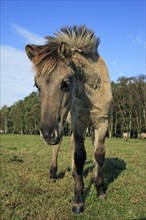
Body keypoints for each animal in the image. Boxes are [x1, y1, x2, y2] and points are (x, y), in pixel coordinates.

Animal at [25, 25, 112, 213]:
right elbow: (79, 156)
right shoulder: (78, 122)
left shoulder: (102, 122)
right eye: (37, 86)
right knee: (59, 147)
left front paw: (101, 190)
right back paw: (53, 173)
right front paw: (78, 201)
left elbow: (98, 155)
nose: (47, 134)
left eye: (65, 83)